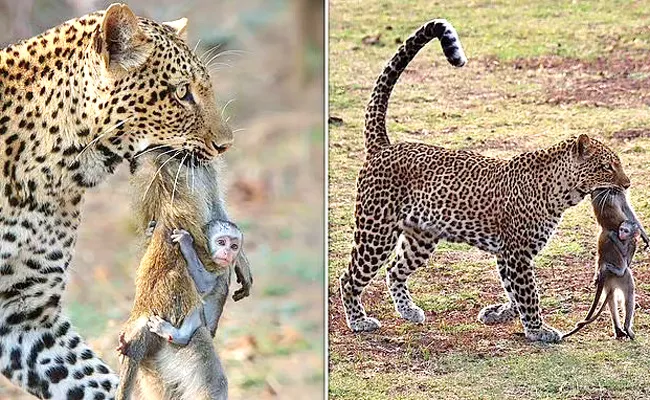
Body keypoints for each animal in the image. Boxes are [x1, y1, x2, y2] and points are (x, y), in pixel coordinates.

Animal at [336, 19, 632, 344]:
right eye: (606, 166)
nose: (628, 184)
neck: (561, 191)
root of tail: (384, 147)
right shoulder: (516, 253)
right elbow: (528, 293)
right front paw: (538, 330)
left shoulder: (508, 254)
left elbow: (515, 292)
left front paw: (499, 314)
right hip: (376, 230)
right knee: (349, 277)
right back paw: (358, 320)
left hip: (421, 236)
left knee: (394, 270)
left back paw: (409, 312)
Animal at [560, 189, 644, 340]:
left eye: (625, 230)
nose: (621, 233)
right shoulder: (630, 243)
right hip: (621, 277)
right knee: (628, 290)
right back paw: (626, 327)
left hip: (610, 280)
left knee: (612, 295)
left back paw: (619, 329)